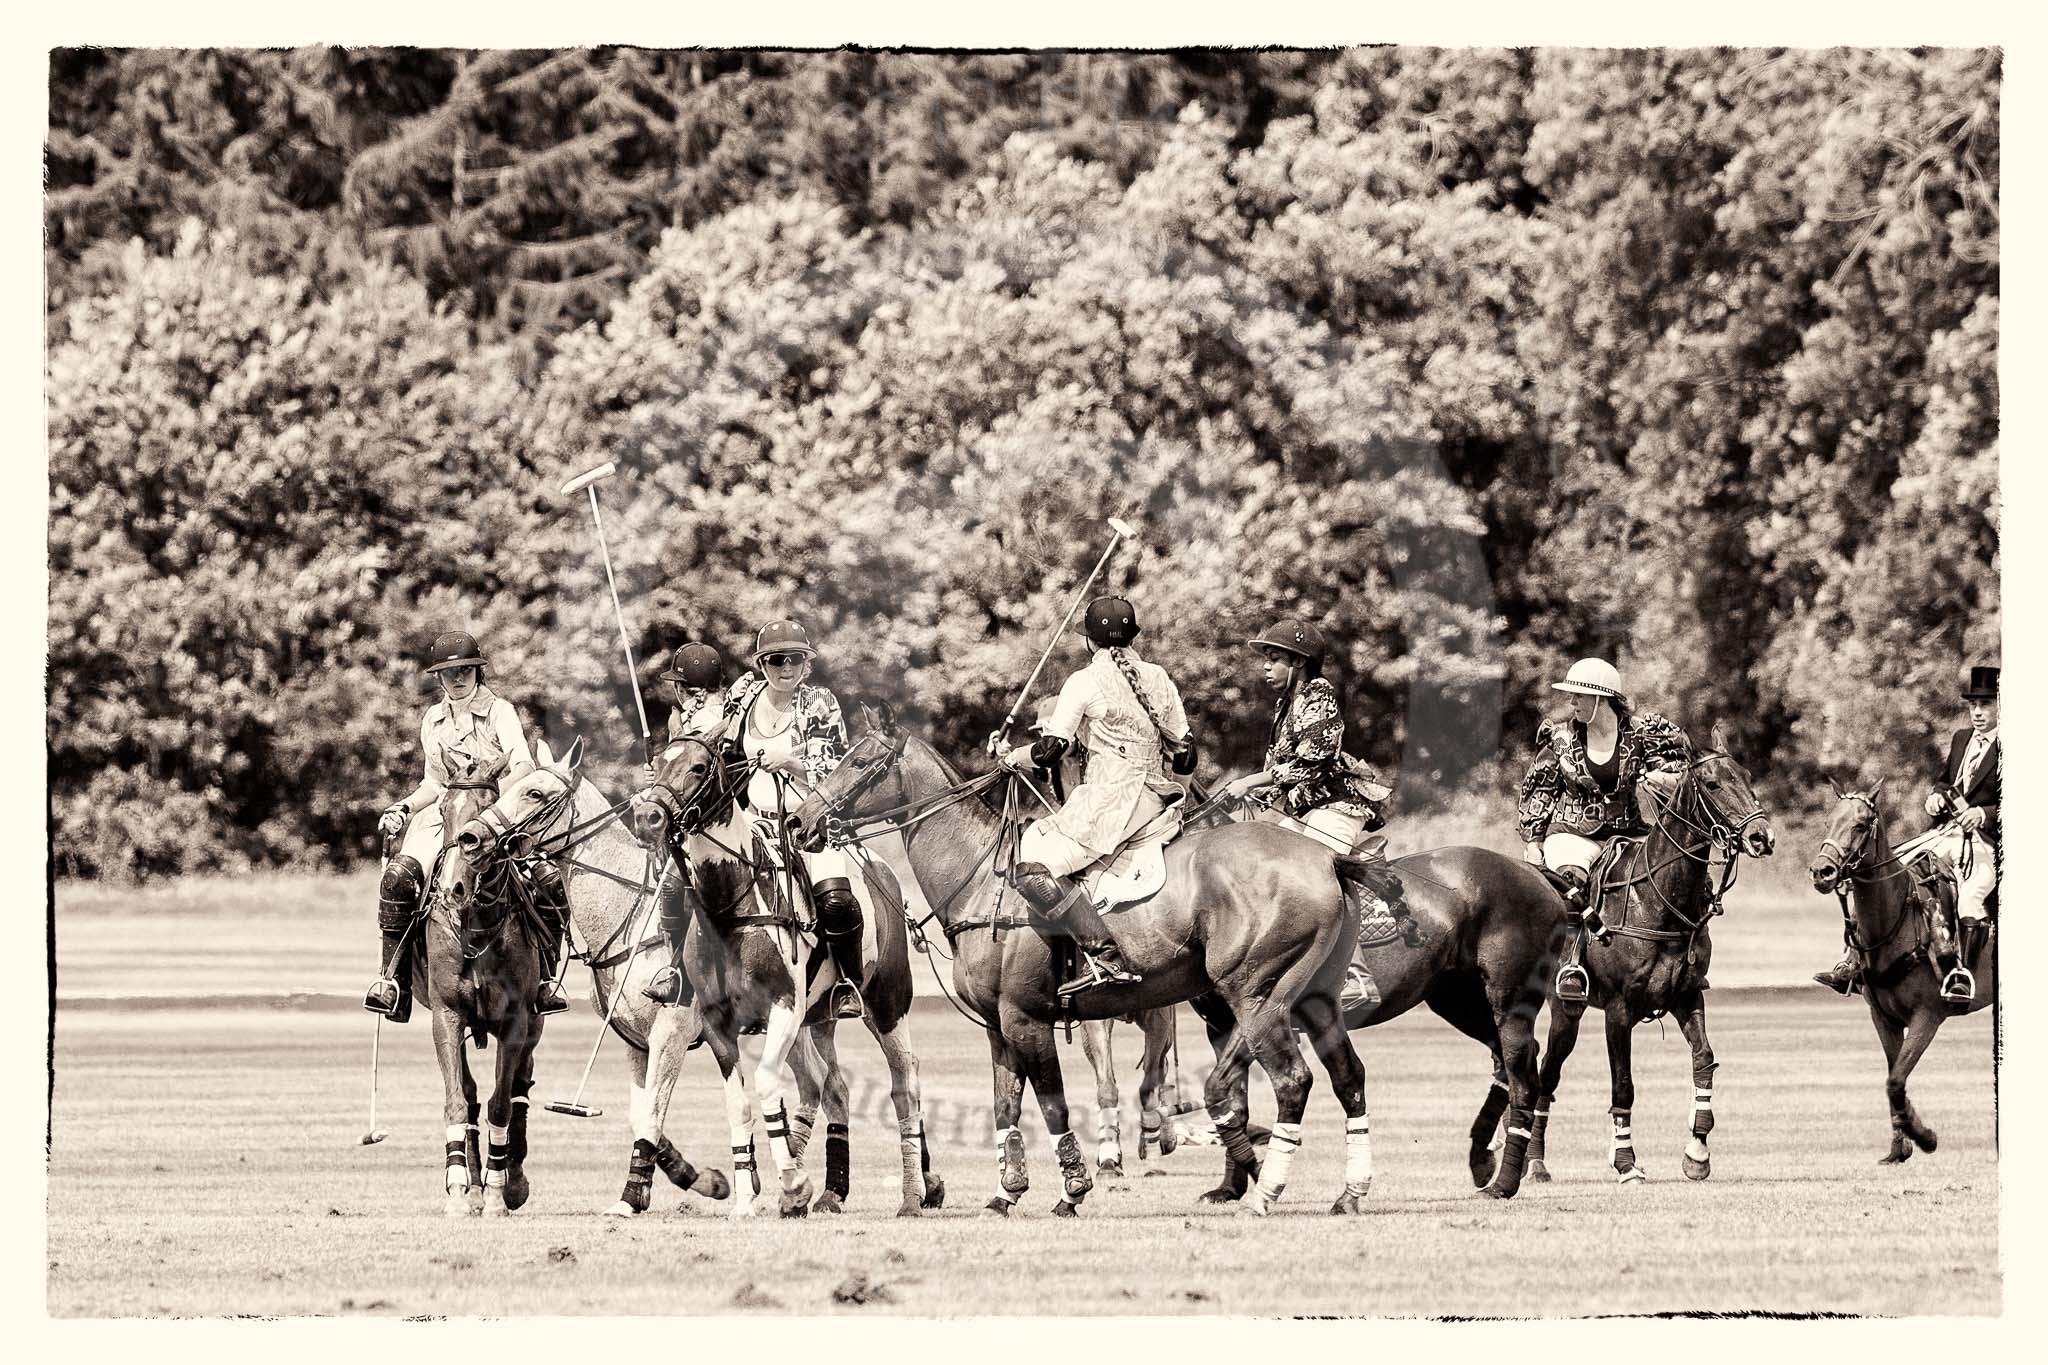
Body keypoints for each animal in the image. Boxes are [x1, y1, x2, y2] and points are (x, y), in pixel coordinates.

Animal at [421, 749, 552, 1219]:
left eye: (486, 807)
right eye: (443, 810)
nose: (454, 888)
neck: (475, 926)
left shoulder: (516, 1021)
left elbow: (501, 1103)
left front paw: (498, 1193)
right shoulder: (445, 1016)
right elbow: (459, 1100)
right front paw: (461, 1191)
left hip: (536, 1022)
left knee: (518, 1091)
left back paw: (512, 1179)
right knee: (472, 1093)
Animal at [634, 736, 946, 1219]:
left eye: (700, 766)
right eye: (658, 763)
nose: (647, 816)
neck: (731, 907)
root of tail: (881, 868)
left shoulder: (783, 1006)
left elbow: (766, 1083)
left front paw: (793, 1183)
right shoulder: (717, 1023)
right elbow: (739, 1105)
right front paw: (747, 1201)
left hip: (887, 1004)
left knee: (904, 1085)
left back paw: (912, 1196)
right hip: (817, 1018)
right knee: (830, 1085)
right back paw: (828, 1192)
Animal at [782, 703, 1376, 1219]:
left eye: (859, 761)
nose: (799, 823)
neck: (982, 882)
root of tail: (1330, 860)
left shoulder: (1026, 1018)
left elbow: (1053, 1105)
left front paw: (1071, 1189)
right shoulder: (998, 1026)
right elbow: (1005, 1106)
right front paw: (1006, 1192)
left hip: (1257, 995)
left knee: (1291, 1080)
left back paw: (1263, 1191)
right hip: (1316, 998)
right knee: (1348, 1076)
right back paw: (1347, 1193)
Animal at [1523, 724, 1777, 1186]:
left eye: (1748, 777)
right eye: (1712, 783)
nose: (1761, 838)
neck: (1661, 899)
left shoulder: (1687, 996)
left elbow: (1704, 1061)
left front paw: (1697, 1152)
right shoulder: (1619, 1009)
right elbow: (1622, 1084)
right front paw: (1626, 1163)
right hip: (1566, 1008)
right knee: (1547, 1073)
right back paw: (1536, 1162)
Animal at [1818, 789, 1990, 1162]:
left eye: (1861, 824)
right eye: (1828, 822)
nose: (1821, 871)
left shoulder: (1928, 1015)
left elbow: (1895, 1080)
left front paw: (1924, 1136)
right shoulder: (1883, 1017)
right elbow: (1893, 1075)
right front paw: (1900, 1144)